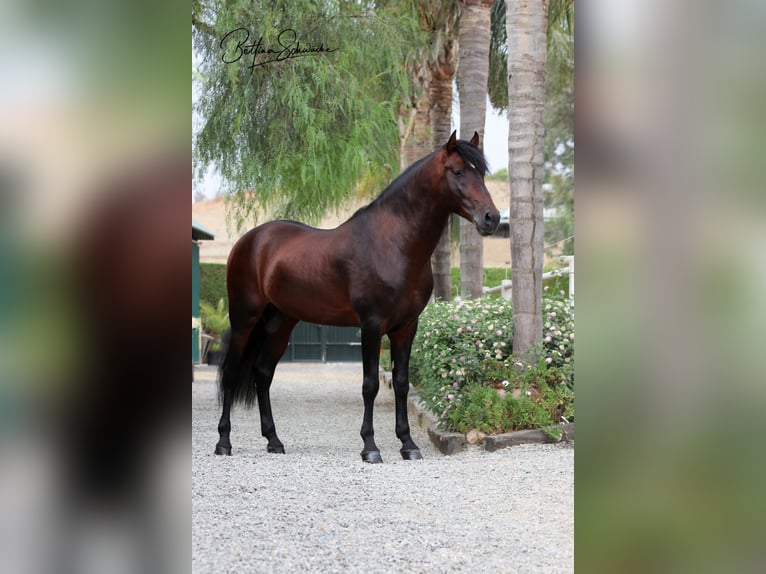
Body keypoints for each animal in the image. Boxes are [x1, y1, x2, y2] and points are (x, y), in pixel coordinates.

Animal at [215, 131, 500, 463]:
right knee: (231, 372)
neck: (394, 244)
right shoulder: (372, 326)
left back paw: (274, 441)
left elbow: (401, 384)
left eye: (481, 173)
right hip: (244, 319)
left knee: (262, 374)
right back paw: (223, 442)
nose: (491, 218)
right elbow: (370, 385)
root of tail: (250, 240)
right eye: (457, 171)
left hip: (280, 323)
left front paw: (408, 444)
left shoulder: (406, 327)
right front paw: (370, 447)